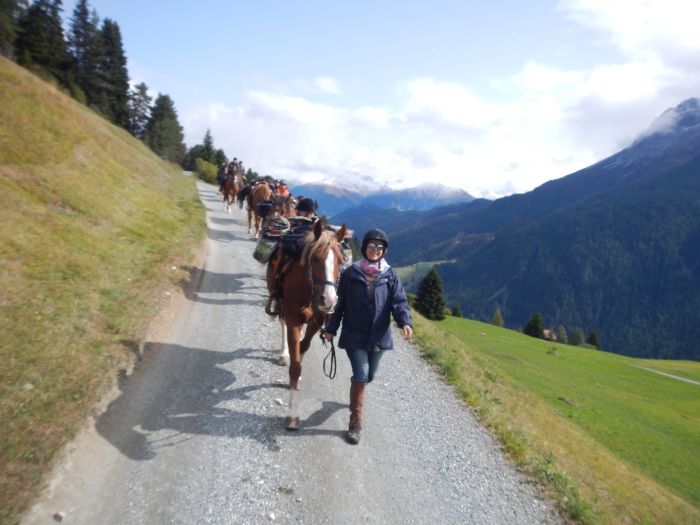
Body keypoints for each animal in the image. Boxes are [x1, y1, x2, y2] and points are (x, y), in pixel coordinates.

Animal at [276, 219, 348, 428]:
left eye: (340, 261)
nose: (329, 300)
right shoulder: (293, 320)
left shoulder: (317, 322)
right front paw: (292, 415)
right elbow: (295, 366)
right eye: (315, 258)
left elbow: (303, 347)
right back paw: (284, 354)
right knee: (282, 324)